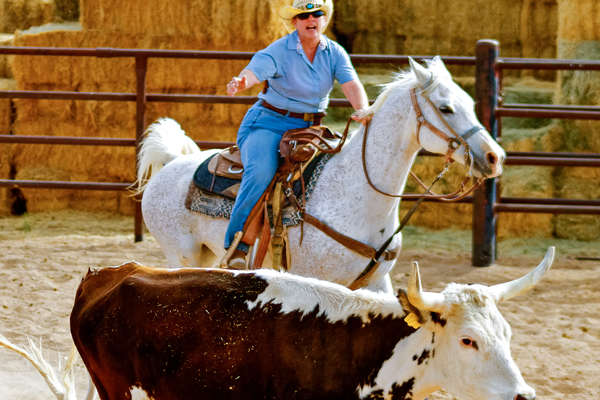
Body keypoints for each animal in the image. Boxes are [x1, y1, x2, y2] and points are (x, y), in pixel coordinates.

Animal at [137, 56, 506, 292]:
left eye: (470, 102)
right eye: (446, 108)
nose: (494, 157)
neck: (359, 194)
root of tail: (171, 163)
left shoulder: (376, 282)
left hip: (206, 254)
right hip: (180, 254)